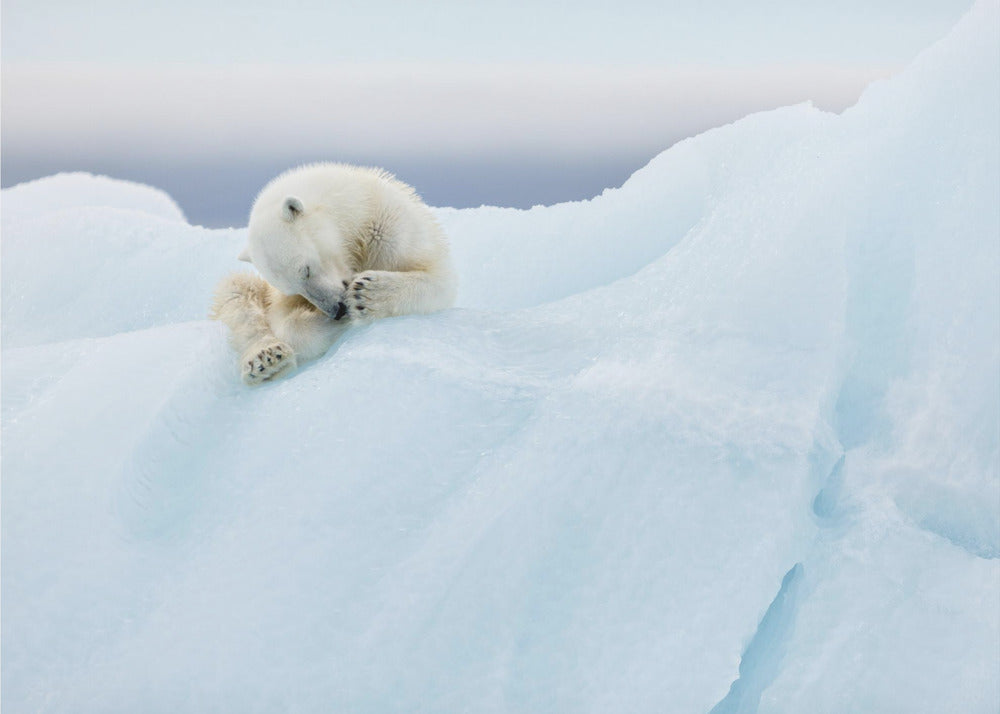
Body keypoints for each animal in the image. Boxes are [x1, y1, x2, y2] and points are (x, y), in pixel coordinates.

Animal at [217, 163, 458, 384]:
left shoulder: (391, 229)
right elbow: (284, 320)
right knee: (236, 292)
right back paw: (266, 360)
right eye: (293, 288)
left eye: (306, 269)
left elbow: (439, 279)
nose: (338, 310)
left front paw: (366, 293)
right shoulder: (278, 296)